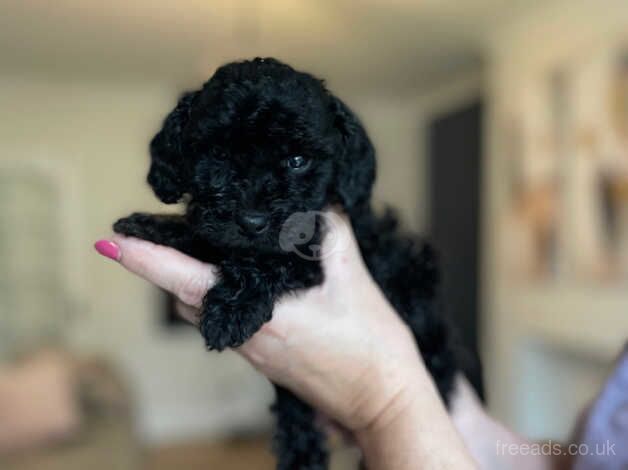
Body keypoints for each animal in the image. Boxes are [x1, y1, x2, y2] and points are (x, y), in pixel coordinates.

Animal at [114, 57, 456, 470]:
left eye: (297, 161)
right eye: (219, 156)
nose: (253, 221)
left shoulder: (312, 256)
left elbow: (269, 259)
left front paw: (231, 310)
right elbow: (209, 235)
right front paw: (149, 225)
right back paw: (301, 457)